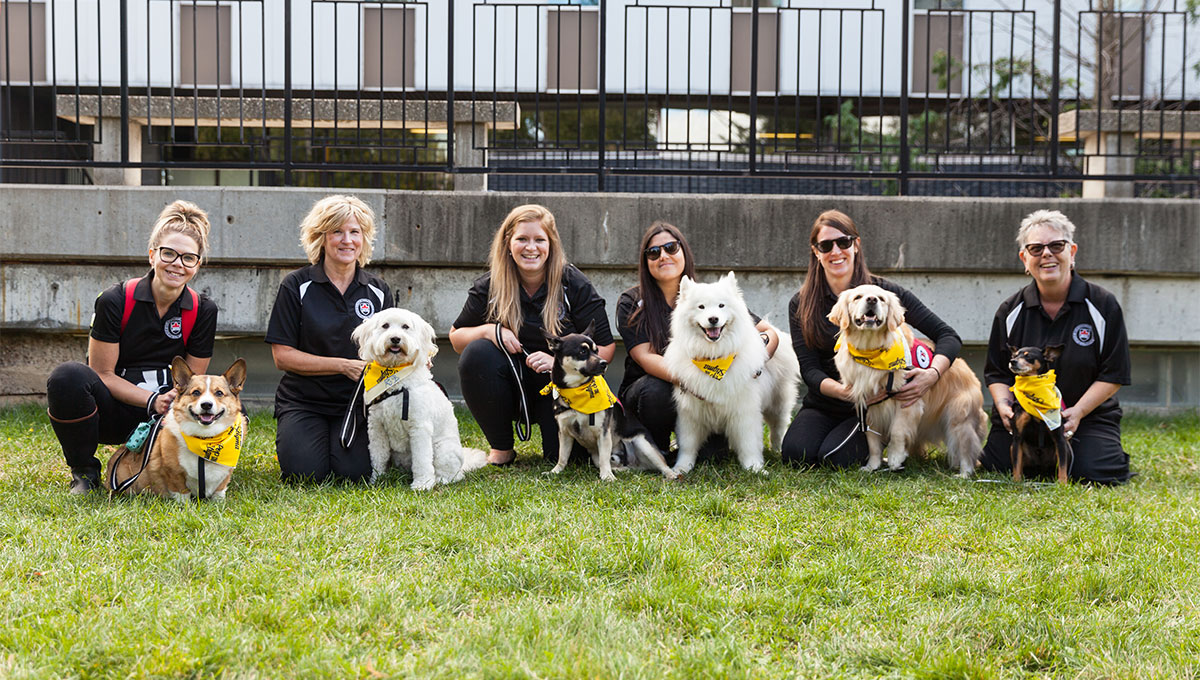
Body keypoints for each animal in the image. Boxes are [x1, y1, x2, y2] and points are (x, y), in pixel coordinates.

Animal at [350, 309, 487, 489]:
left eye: (405, 326)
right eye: (385, 326)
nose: (395, 338)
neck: (396, 380)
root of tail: (463, 464)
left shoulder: (419, 427)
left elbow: (421, 459)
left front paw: (422, 484)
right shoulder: (377, 428)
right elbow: (378, 456)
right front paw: (376, 479)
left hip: (443, 449)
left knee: (453, 474)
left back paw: (440, 479)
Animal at [542, 326, 676, 482]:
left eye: (597, 350)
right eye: (582, 352)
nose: (604, 363)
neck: (576, 391)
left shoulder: (603, 433)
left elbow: (604, 458)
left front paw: (607, 476)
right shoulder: (564, 433)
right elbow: (562, 456)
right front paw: (555, 471)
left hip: (644, 444)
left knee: (662, 463)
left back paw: (671, 474)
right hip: (598, 456)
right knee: (632, 467)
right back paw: (620, 470)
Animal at [667, 271, 796, 472]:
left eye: (721, 305)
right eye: (701, 307)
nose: (713, 319)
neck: (714, 357)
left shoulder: (744, 410)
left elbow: (749, 442)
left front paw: (755, 468)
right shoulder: (690, 412)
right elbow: (688, 445)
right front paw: (681, 468)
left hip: (777, 405)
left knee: (778, 429)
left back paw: (777, 450)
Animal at [830, 286, 988, 479]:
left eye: (881, 298)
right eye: (857, 297)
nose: (872, 300)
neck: (870, 351)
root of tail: (973, 375)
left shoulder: (908, 400)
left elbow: (897, 431)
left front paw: (895, 457)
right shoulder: (868, 405)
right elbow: (872, 441)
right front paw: (872, 466)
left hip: (958, 418)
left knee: (966, 449)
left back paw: (964, 474)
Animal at [1008, 345, 1075, 484]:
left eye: (1028, 356)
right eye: (1015, 355)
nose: (1012, 361)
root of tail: (1041, 472)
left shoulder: (1060, 439)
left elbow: (1062, 467)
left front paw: (1063, 485)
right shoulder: (1017, 438)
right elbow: (1016, 466)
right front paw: (1016, 483)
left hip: (1067, 448)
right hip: (1013, 448)